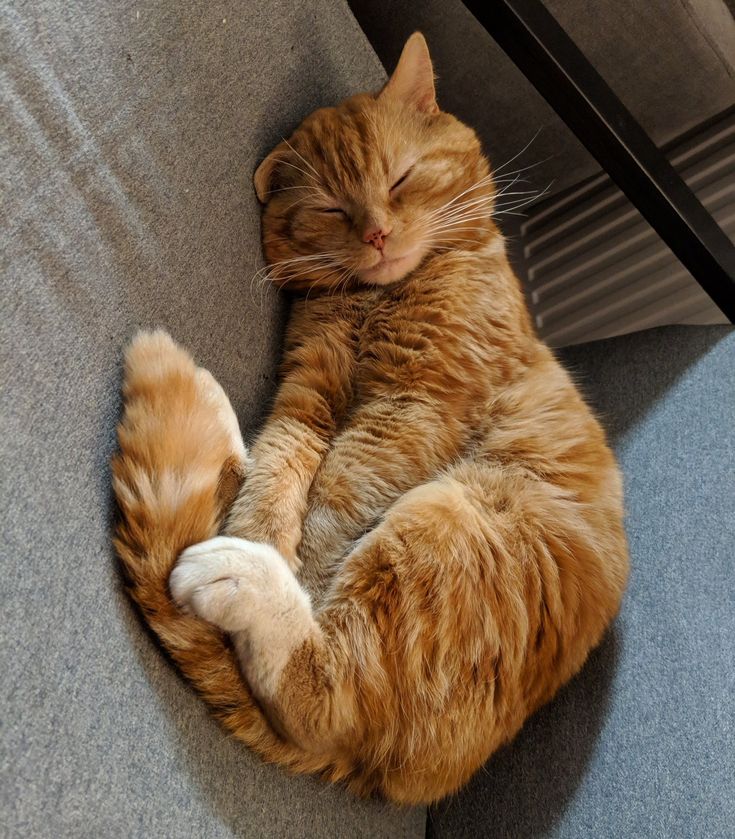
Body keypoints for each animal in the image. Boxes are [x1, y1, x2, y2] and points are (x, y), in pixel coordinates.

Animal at [112, 34, 628, 808]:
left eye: (401, 178)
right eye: (331, 208)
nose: (379, 234)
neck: (376, 297)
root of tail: (383, 775)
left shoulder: (411, 407)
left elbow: (335, 506)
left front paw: (296, 567)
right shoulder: (308, 391)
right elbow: (279, 472)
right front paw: (265, 531)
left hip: (450, 517)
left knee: (321, 693)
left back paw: (244, 580)